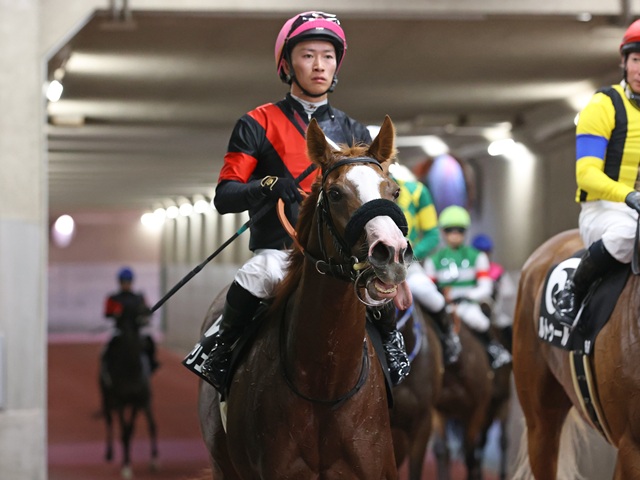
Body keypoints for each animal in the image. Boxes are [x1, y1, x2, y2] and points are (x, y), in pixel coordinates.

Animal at [100, 313, 159, 479]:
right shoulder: (119, 402)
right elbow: (124, 431)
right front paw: (126, 467)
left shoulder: (138, 402)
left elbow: (134, 429)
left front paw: (152, 461)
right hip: (106, 398)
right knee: (109, 420)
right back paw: (109, 453)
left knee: (151, 425)